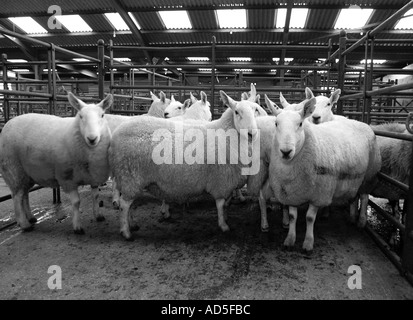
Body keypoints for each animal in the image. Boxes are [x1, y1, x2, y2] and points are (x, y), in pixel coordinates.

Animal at [0, 92, 112, 232]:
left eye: (102, 115)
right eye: (81, 116)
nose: (92, 138)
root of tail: (9, 122)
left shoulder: (93, 175)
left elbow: (95, 197)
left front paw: (98, 215)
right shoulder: (67, 178)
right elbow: (76, 202)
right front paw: (77, 226)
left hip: (27, 174)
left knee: (24, 194)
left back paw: (31, 217)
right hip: (14, 170)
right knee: (17, 197)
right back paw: (24, 224)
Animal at [108, 90, 260, 240]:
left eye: (256, 110)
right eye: (237, 112)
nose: (252, 133)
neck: (226, 134)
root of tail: (116, 135)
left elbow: (226, 205)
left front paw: (226, 219)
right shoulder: (221, 180)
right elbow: (221, 205)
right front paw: (223, 225)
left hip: (130, 178)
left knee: (128, 204)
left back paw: (132, 223)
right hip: (130, 176)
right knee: (125, 205)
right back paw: (126, 231)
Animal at [268, 99, 380, 251]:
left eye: (300, 124)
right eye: (276, 123)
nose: (286, 151)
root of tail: (360, 122)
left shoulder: (319, 193)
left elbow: (309, 218)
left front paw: (308, 243)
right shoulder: (292, 194)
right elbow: (292, 217)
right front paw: (290, 239)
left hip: (369, 175)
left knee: (364, 197)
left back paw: (361, 221)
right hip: (354, 178)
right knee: (354, 197)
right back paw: (352, 217)